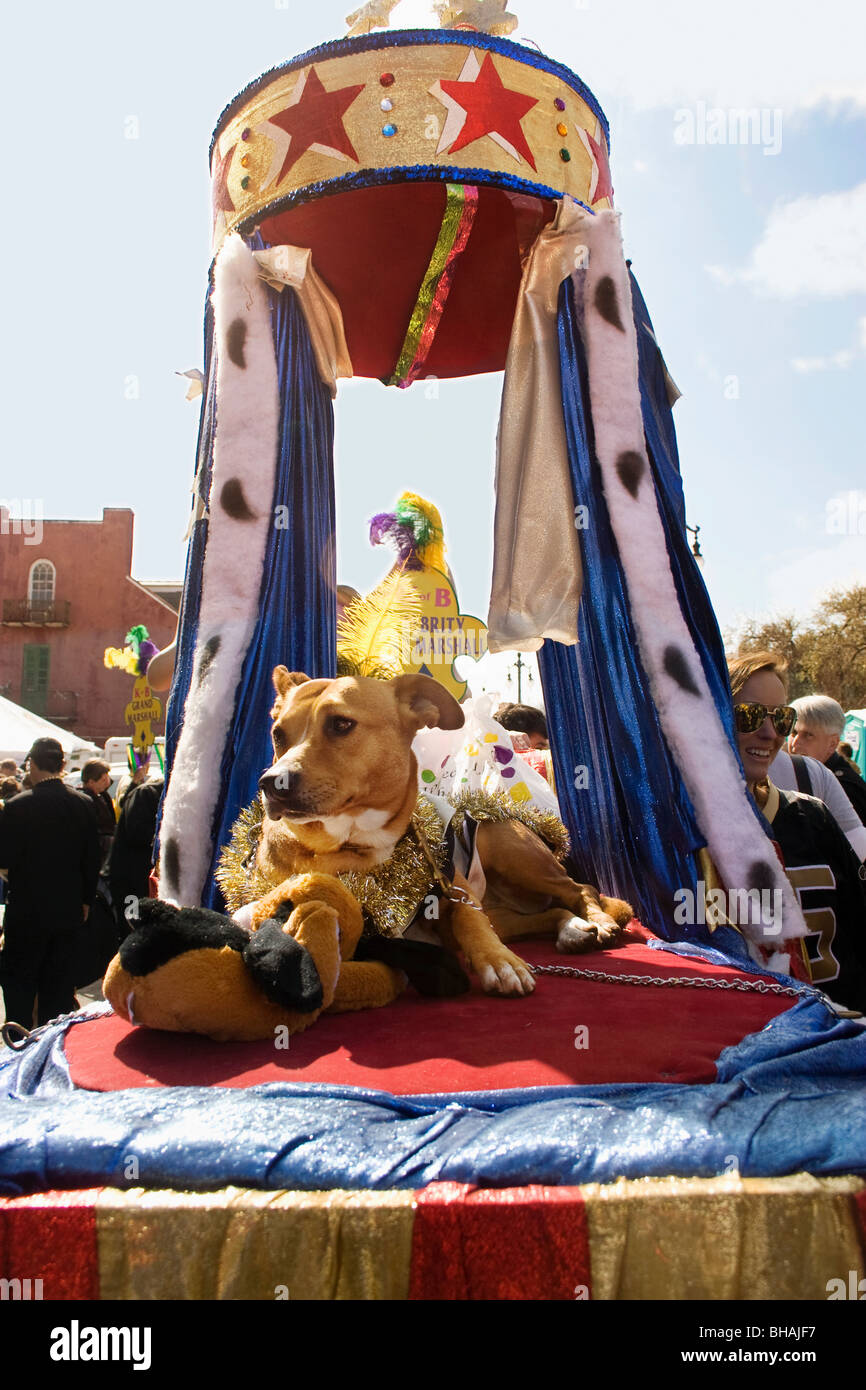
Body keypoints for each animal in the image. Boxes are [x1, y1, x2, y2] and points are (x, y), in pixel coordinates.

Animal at [254, 667, 633, 995]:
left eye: (342, 724)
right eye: (277, 734)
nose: (272, 783)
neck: (355, 845)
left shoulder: (455, 884)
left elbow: (469, 917)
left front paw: (499, 960)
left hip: (510, 850)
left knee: (581, 888)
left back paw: (596, 920)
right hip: (505, 912)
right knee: (548, 912)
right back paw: (572, 929)